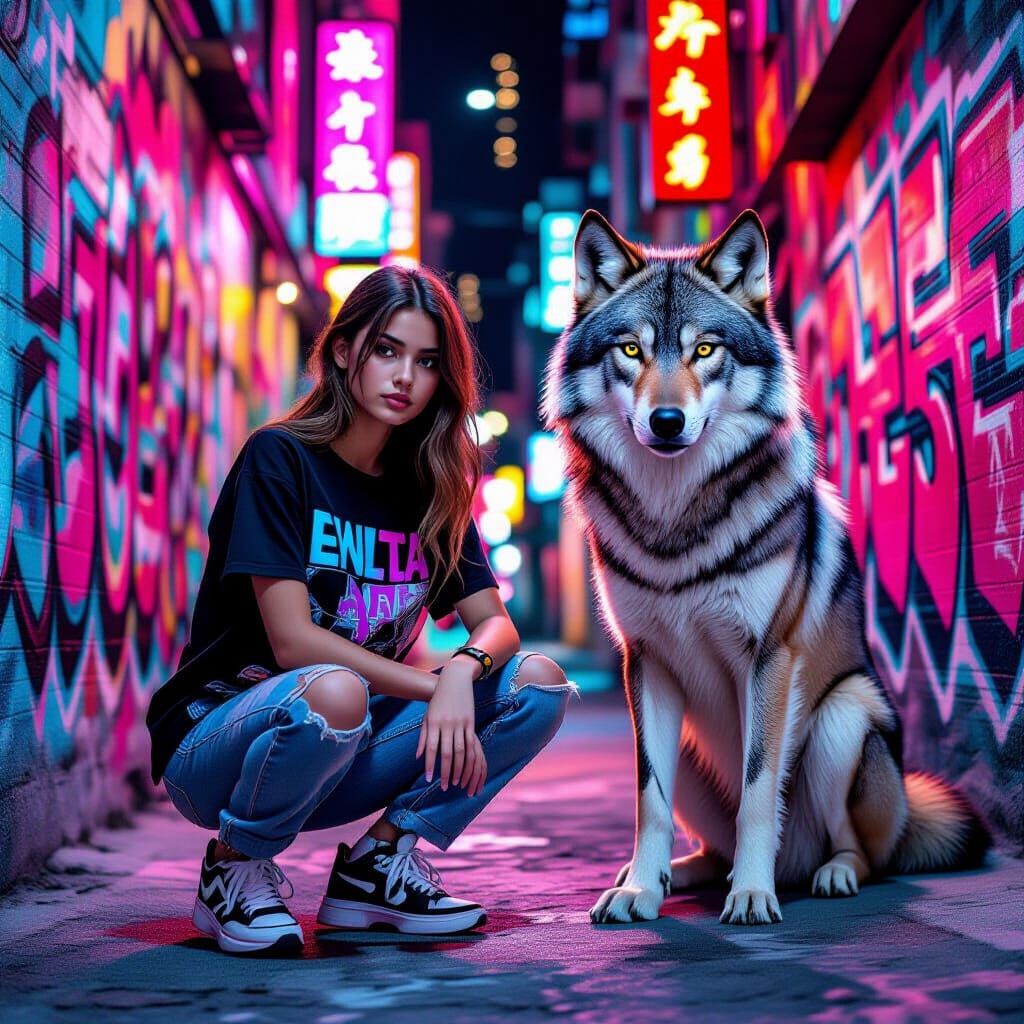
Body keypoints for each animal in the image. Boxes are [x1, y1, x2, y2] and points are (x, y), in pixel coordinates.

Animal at [542, 209, 988, 925]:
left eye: (705, 350)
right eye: (632, 351)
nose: (666, 421)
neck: (676, 522)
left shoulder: (770, 657)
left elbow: (757, 793)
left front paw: (752, 894)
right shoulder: (646, 663)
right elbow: (648, 800)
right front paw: (640, 890)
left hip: (843, 716)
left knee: (860, 851)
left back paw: (826, 874)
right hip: (690, 743)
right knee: (706, 838)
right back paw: (675, 875)